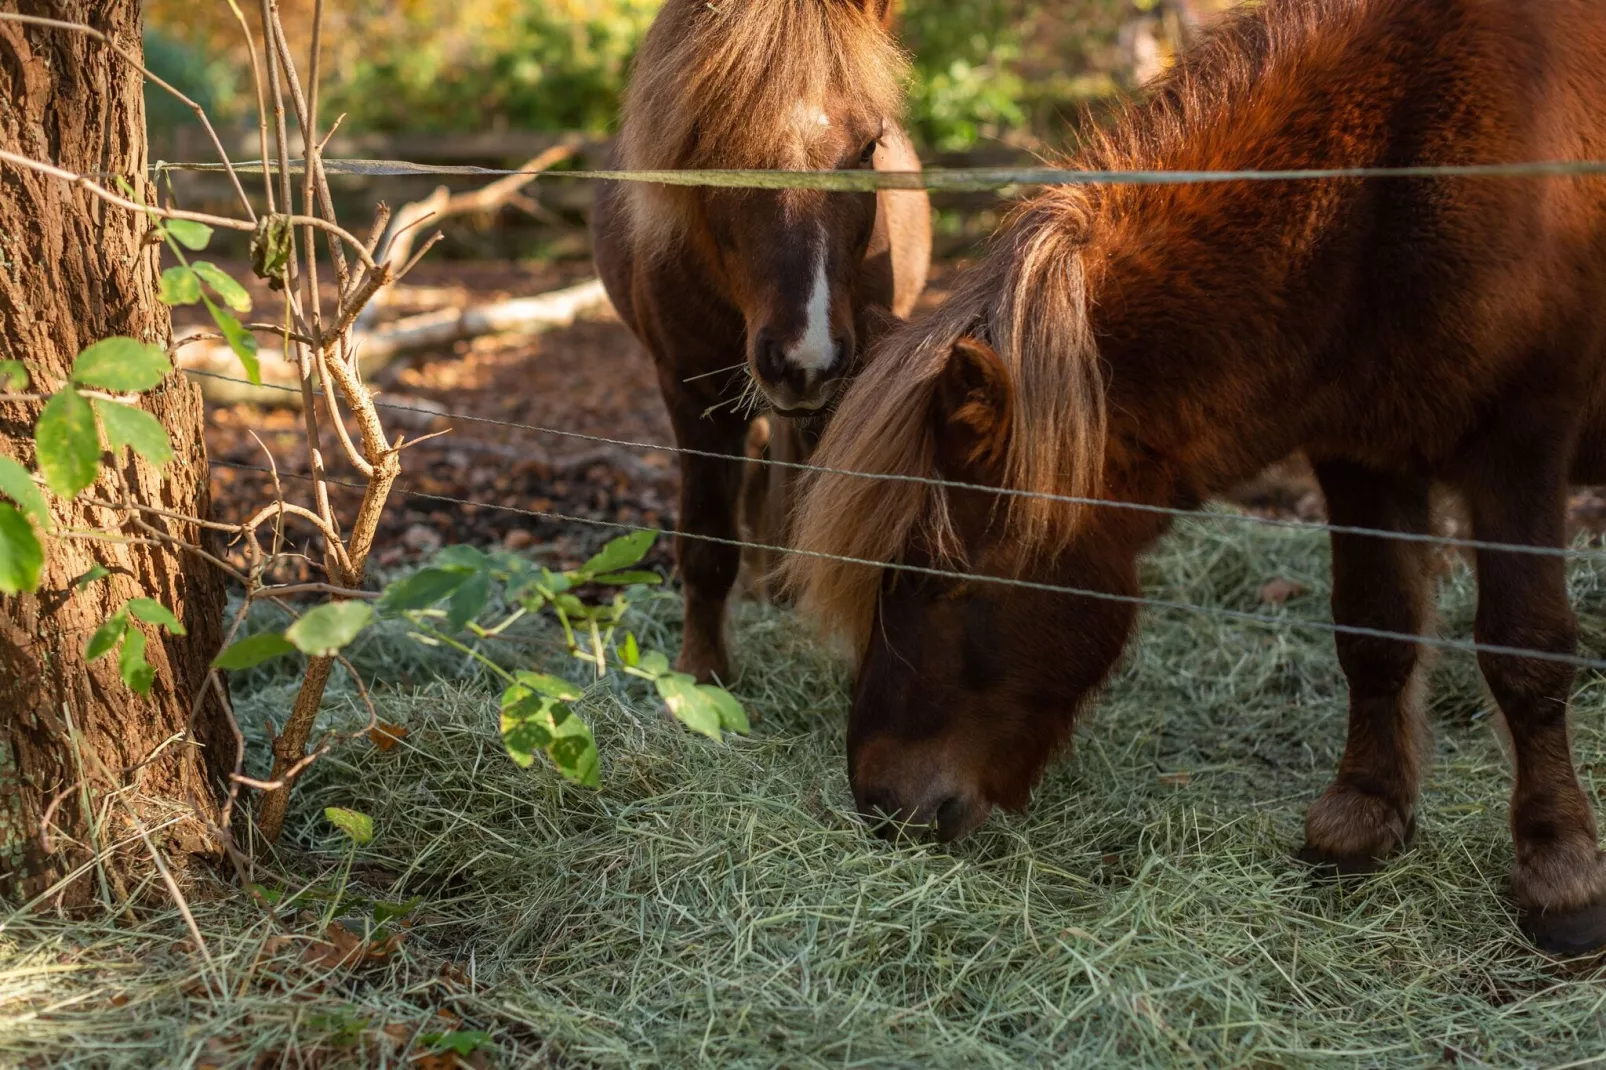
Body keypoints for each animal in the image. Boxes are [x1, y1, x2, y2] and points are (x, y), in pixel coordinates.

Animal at [597, 0, 937, 684]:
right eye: (715, 143)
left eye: (869, 147)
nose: (806, 358)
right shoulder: (692, 389)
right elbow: (707, 541)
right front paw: (703, 675)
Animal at [783, 0, 1606, 951]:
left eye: (938, 577)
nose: (881, 803)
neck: (1392, 179)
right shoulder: (1363, 456)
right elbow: (1374, 630)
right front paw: (1362, 818)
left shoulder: (1520, 448)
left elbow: (1524, 652)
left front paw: (1560, 873)